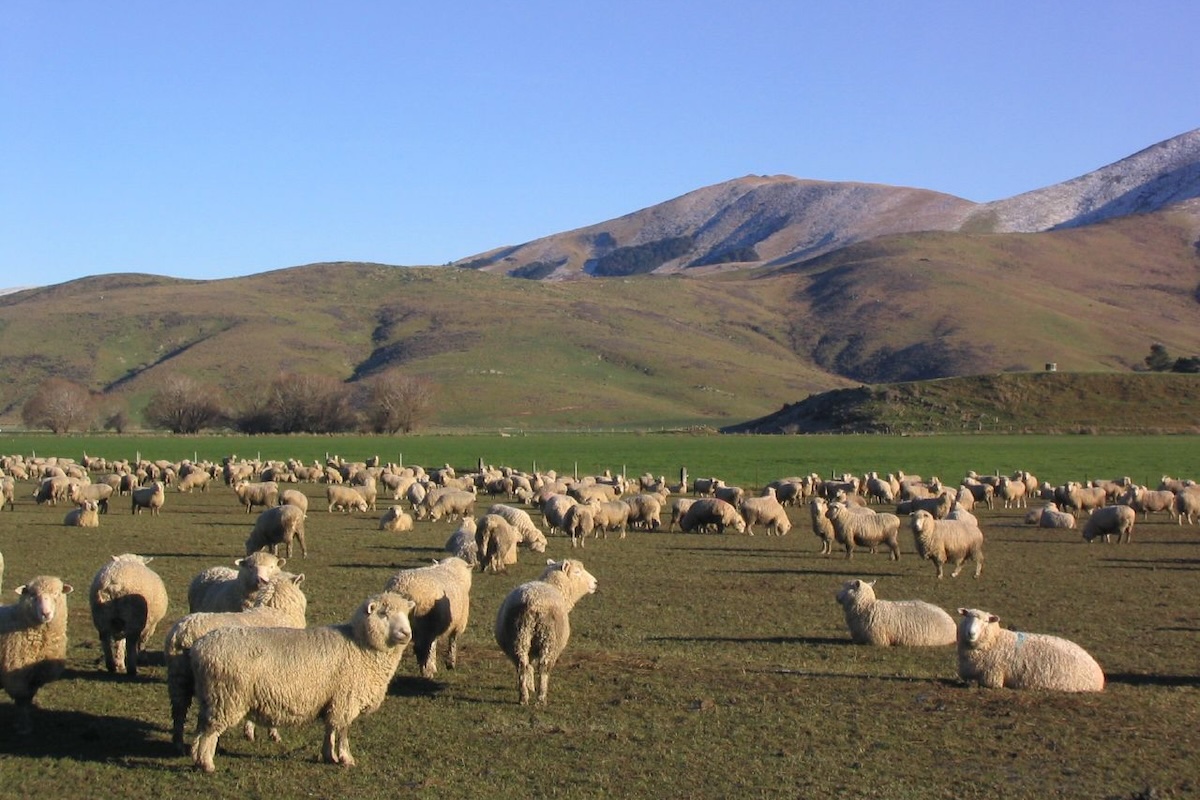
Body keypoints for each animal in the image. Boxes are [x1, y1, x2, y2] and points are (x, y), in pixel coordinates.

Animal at [0, 576, 73, 733]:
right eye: (33, 595)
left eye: (56, 593)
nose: (46, 614)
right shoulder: (17, 677)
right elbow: (22, 703)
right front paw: (23, 727)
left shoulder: (33, 677)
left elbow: (28, 701)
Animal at [166, 573, 308, 751]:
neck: (276, 611)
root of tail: (184, 632)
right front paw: (271, 734)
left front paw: (250, 732)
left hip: (179, 676)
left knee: (179, 711)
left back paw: (178, 743)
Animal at [189, 591, 415, 772]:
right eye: (383, 614)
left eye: (406, 614)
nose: (407, 633)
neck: (361, 646)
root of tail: (199, 647)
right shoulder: (346, 698)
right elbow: (342, 731)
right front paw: (346, 758)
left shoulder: (333, 699)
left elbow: (329, 729)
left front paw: (329, 755)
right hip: (226, 697)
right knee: (210, 732)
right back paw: (207, 764)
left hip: (210, 697)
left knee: (201, 727)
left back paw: (197, 758)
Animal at [495, 559, 597, 705]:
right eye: (577, 572)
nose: (595, 582)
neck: (556, 586)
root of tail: (533, 602)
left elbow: (529, 666)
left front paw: (530, 686)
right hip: (549, 640)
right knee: (543, 668)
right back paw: (541, 699)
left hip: (519, 637)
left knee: (522, 665)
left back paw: (523, 698)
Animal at [956, 608, 1104, 692]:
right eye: (967, 617)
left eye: (986, 621)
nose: (971, 633)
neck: (995, 640)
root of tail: (1100, 675)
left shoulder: (992, 676)